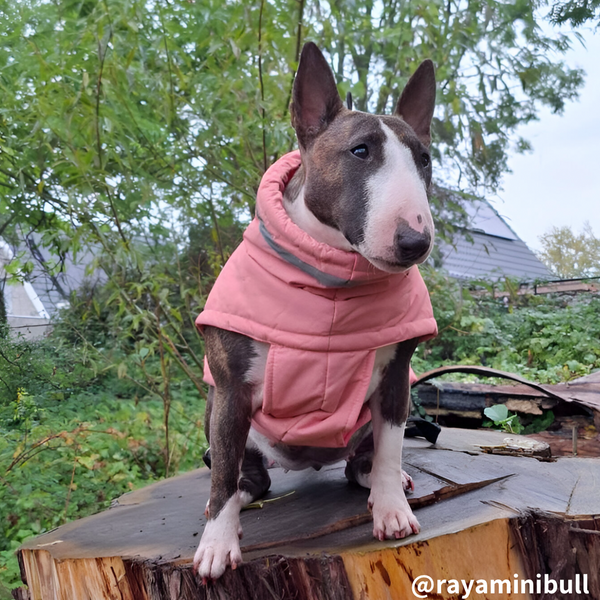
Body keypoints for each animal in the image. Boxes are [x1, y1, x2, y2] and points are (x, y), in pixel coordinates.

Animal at [195, 41, 438, 580]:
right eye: (360, 151)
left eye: (425, 160)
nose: (415, 242)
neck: (331, 282)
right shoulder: (230, 387)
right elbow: (220, 471)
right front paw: (217, 544)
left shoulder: (397, 377)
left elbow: (392, 445)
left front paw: (392, 511)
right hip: (216, 410)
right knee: (240, 474)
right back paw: (238, 496)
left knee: (365, 460)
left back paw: (381, 481)